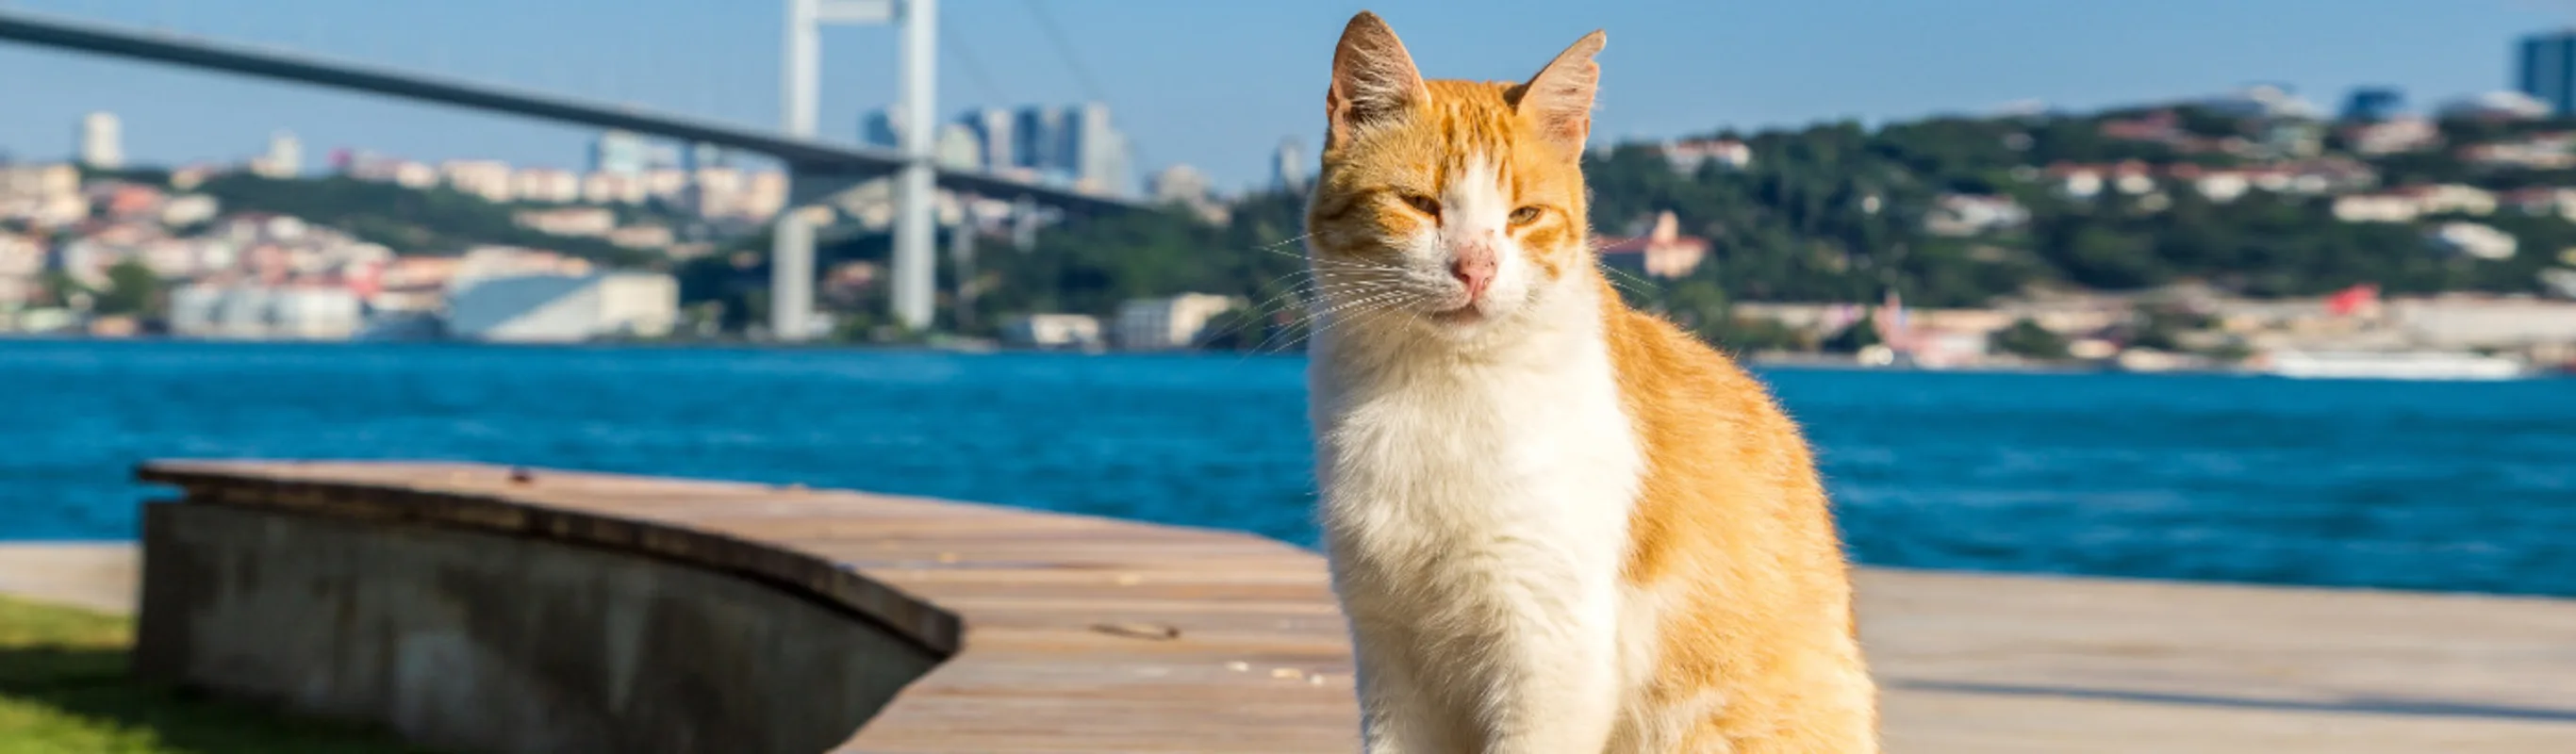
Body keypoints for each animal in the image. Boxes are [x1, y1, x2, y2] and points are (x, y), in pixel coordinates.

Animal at [1308, 11, 1874, 751]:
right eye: (1419, 204)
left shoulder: (1549, 652)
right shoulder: (1388, 653)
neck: (1434, 386)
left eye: (1524, 216)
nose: (1475, 268)